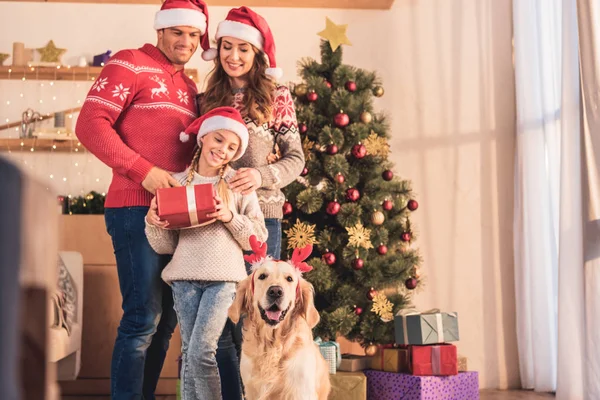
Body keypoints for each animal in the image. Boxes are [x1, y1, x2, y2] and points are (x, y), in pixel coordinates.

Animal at [230, 236, 332, 400]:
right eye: (262, 276)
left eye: (289, 279)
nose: (276, 291)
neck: (272, 344)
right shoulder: (251, 391)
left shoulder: (301, 391)